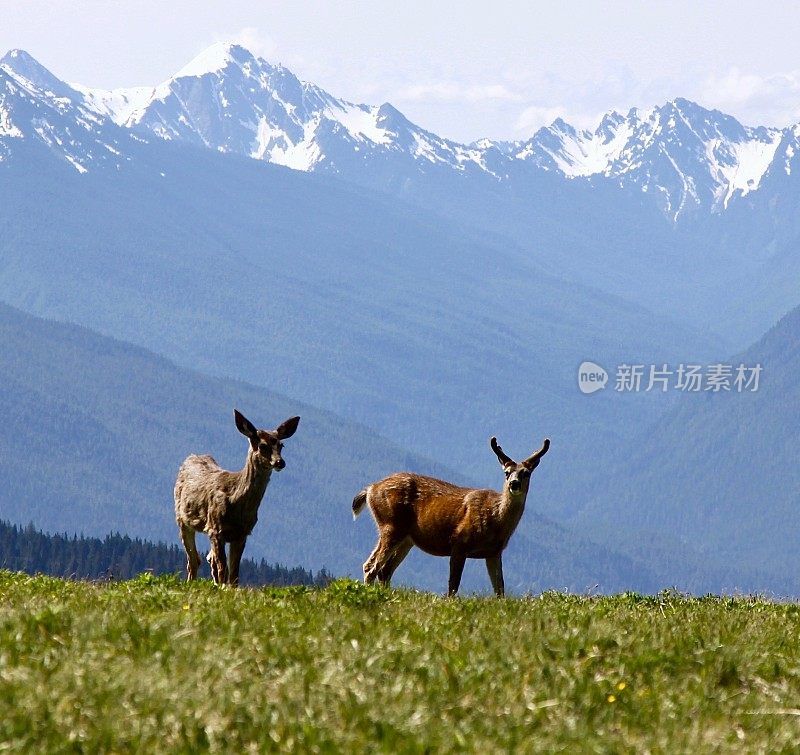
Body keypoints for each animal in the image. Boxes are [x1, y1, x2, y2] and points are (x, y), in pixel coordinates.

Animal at [174, 410, 300, 588]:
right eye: (262, 445)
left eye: (281, 445)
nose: (280, 462)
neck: (237, 502)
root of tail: (192, 457)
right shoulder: (216, 528)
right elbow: (223, 569)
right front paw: (222, 589)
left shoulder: (243, 533)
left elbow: (234, 573)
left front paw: (230, 589)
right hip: (182, 520)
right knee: (193, 561)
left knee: (209, 559)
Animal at [354, 438, 552, 596]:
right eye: (506, 472)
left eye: (526, 473)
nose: (514, 484)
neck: (496, 522)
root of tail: (370, 489)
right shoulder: (459, 542)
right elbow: (453, 585)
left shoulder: (494, 552)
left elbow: (500, 588)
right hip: (391, 525)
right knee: (371, 566)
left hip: (407, 539)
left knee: (385, 570)